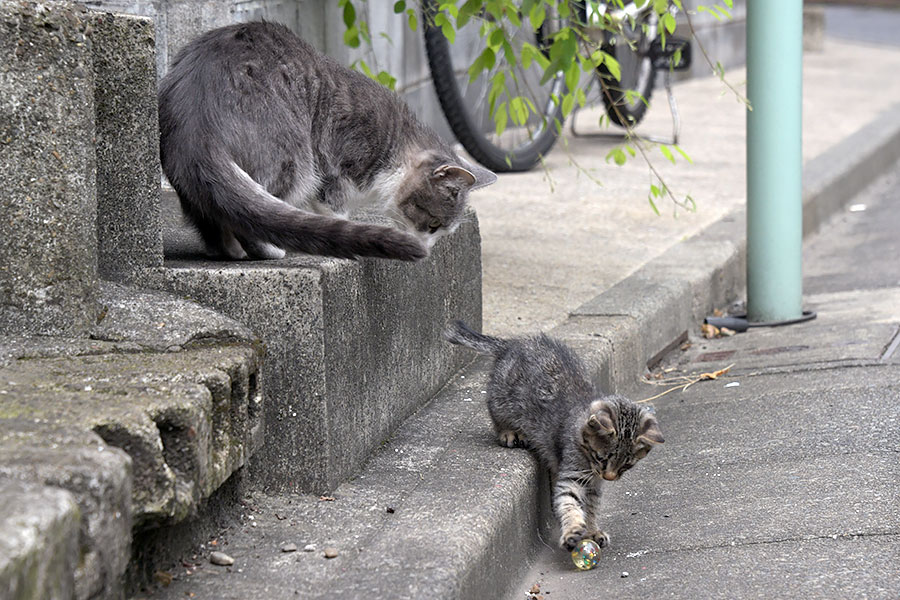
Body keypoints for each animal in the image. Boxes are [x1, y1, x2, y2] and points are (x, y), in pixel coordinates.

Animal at [160, 21, 500, 260]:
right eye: (433, 225)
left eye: (440, 231)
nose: (428, 249)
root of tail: (194, 119)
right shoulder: (337, 161)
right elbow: (333, 207)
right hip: (294, 158)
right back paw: (271, 249)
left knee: (214, 218)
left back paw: (228, 249)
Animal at [446, 322, 664, 552]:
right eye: (601, 458)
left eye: (626, 465)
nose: (610, 477)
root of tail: (513, 343)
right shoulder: (572, 476)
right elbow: (570, 503)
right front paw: (572, 530)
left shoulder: (594, 485)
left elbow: (591, 507)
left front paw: (592, 530)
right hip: (503, 399)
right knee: (495, 412)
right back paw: (509, 432)